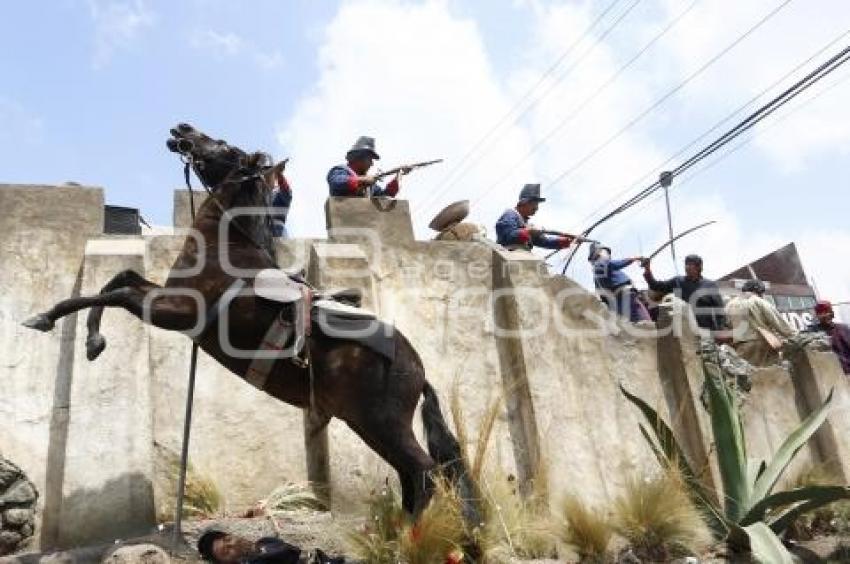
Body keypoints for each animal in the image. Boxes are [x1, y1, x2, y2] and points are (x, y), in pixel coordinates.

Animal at [21, 123, 476, 520]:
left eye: (223, 145)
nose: (182, 129)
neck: (226, 246)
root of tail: (418, 369)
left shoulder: (173, 311)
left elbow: (114, 292)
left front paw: (56, 323)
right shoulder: (164, 299)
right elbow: (120, 279)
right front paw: (85, 336)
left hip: (381, 423)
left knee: (425, 474)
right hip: (369, 424)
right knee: (413, 478)